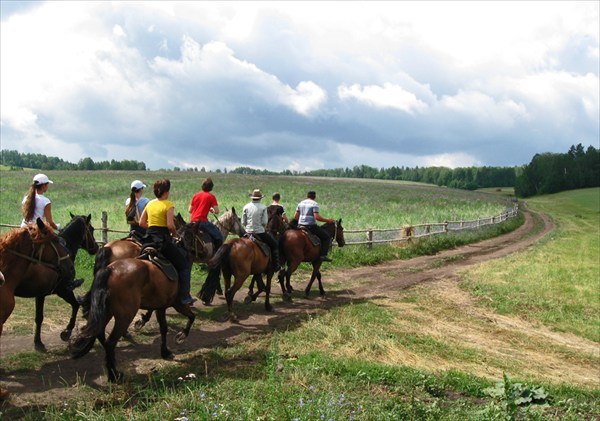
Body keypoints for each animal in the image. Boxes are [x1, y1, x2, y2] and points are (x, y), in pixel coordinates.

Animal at [68, 220, 199, 380]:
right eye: (195, 236)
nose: (197, 254)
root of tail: (109, 270)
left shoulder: (160, 305)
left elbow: (163, 327)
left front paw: (165, 351)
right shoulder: (177, 303)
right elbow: (191, 316)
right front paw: (181, 336)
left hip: (107, 311)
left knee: (99, 333)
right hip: (125, 315)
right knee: (111, 342)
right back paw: (114, 375)